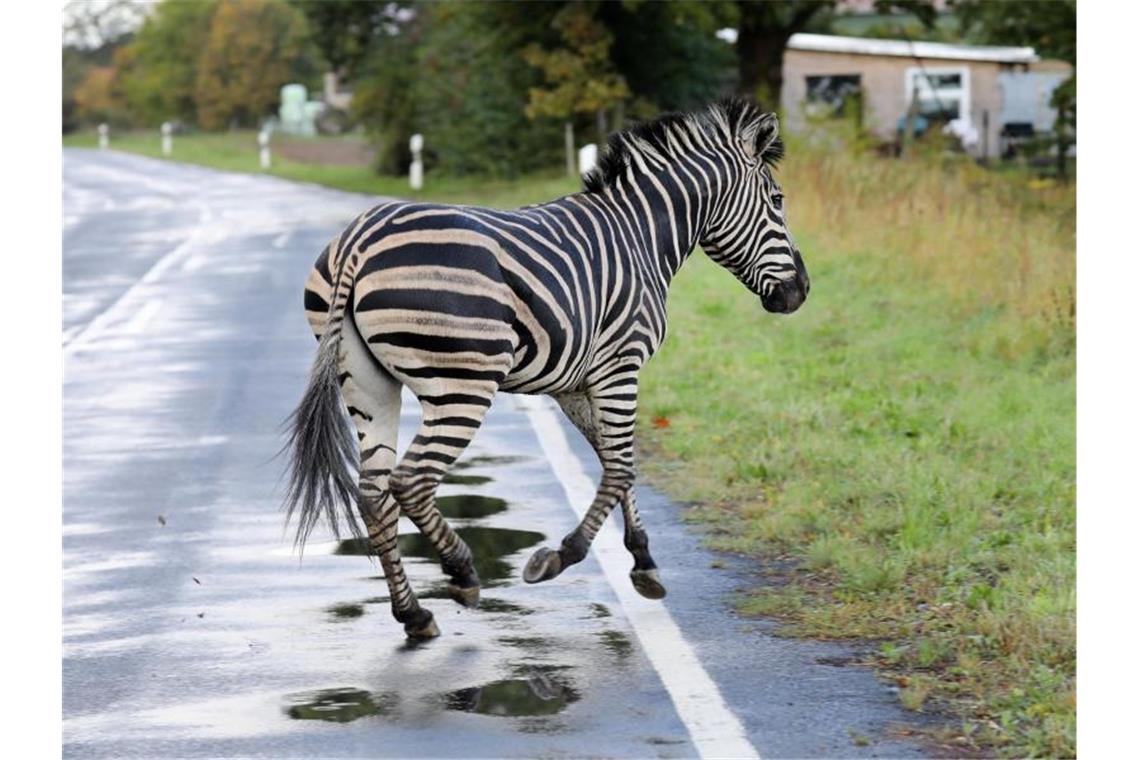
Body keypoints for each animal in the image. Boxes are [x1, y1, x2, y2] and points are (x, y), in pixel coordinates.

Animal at [291, 97, 811, 638]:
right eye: (777, 199)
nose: (801, 292)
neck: (641, 235)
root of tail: (359, 239)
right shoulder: (621, 366)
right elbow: (620, 466)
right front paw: (563, 555)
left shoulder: (574, 384)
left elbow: (615, 460)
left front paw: (644, 562)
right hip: (462, 384)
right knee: (410, 480)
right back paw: (462, 572)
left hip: (367, 383)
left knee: (373, 492)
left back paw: (413, 614)